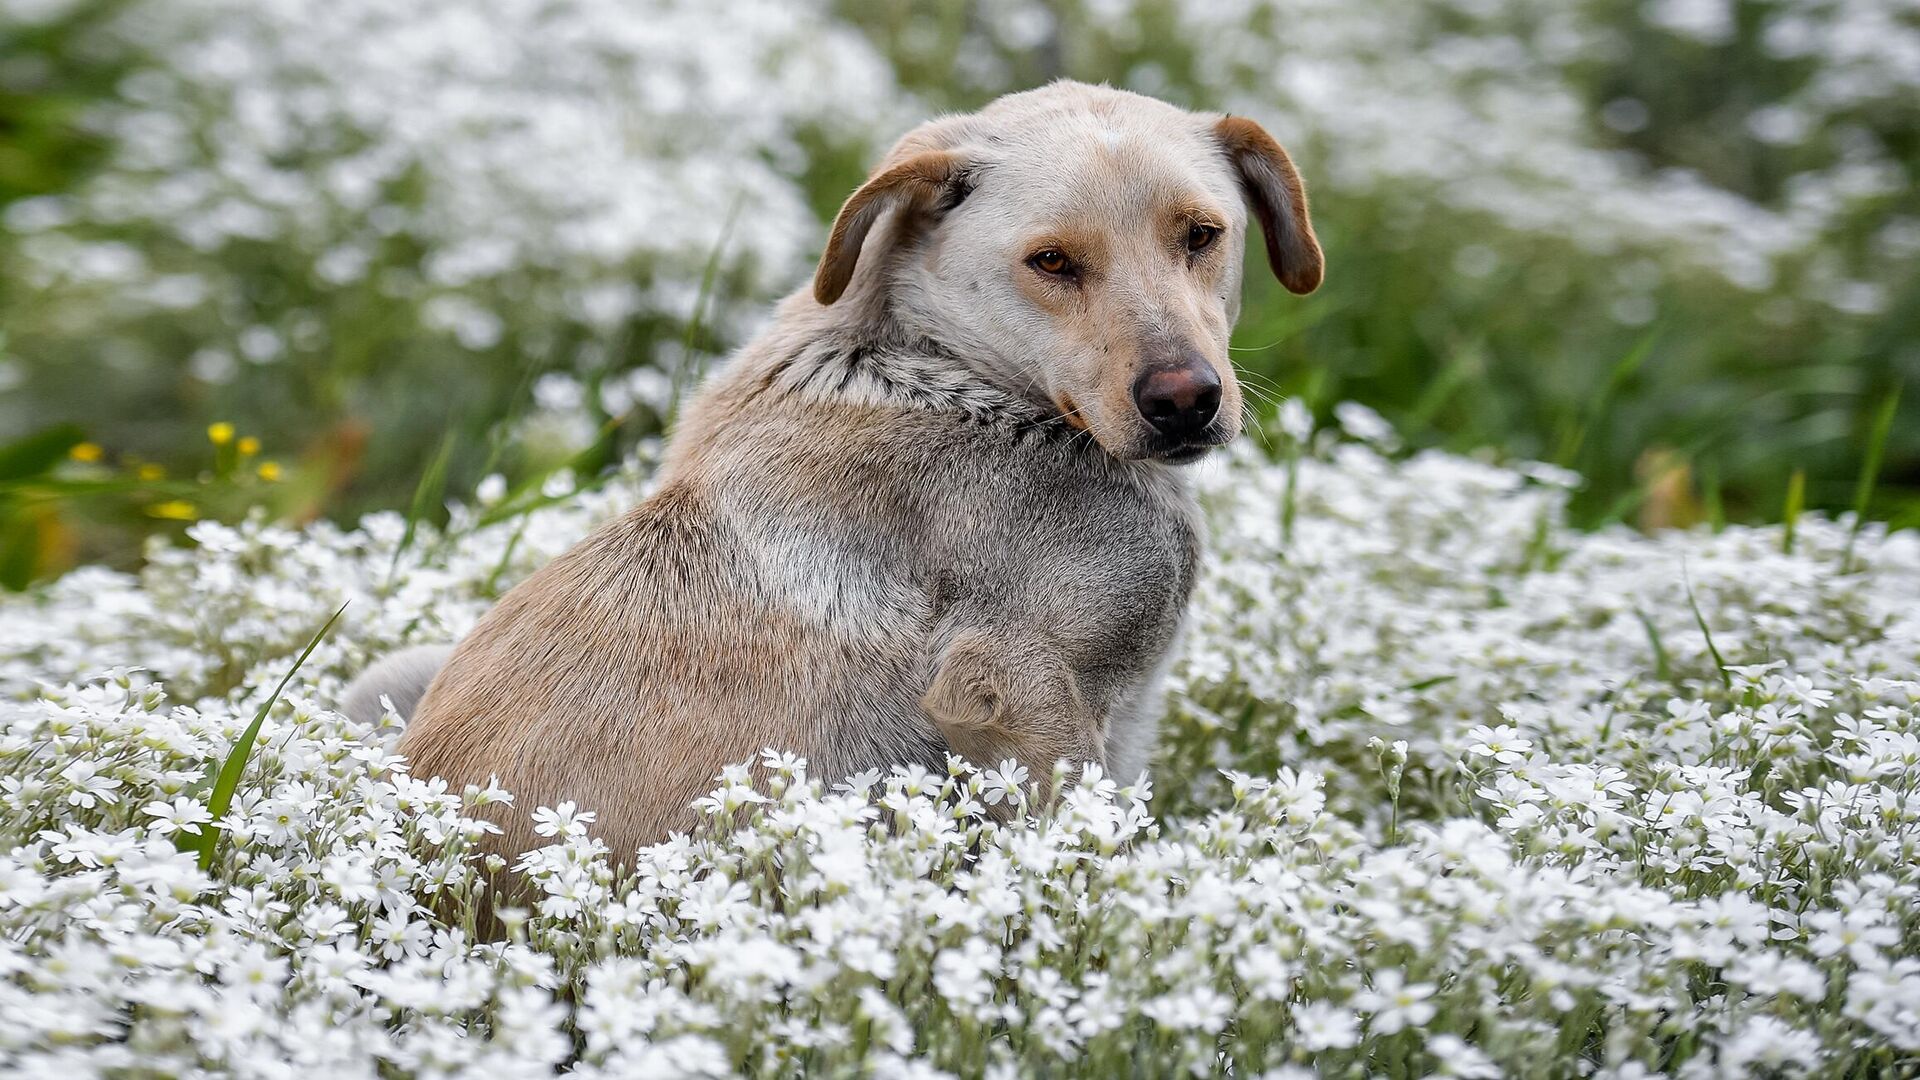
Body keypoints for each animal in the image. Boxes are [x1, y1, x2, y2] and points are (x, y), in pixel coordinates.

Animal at [345, 82, 1320, 857]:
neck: (958, 372)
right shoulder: (1013, 689)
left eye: (1202, 236)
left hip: (394, 672)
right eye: (1051, 261)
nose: (1185, 400)